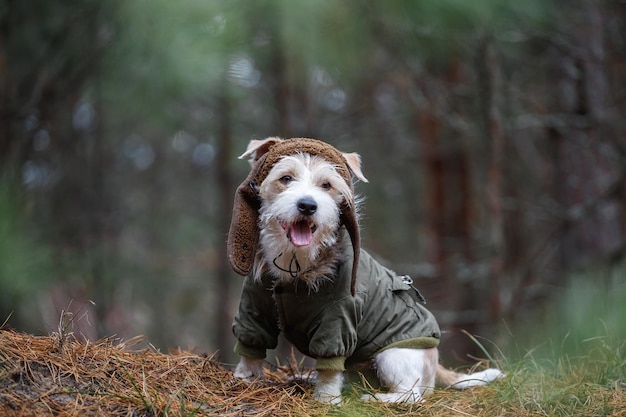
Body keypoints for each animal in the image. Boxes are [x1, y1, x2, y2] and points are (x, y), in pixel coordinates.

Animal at [224, 137, 502, 404]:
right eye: (285, 178)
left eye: (326, 185)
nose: (308, 205)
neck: (296, 262)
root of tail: (435, 361)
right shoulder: (253, 306)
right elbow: (250, 346)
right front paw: (243, 379)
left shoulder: (337, 320)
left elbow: (330, 364)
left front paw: (326, 398)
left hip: (394, 355)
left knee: (412, 394)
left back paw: (378, 397)